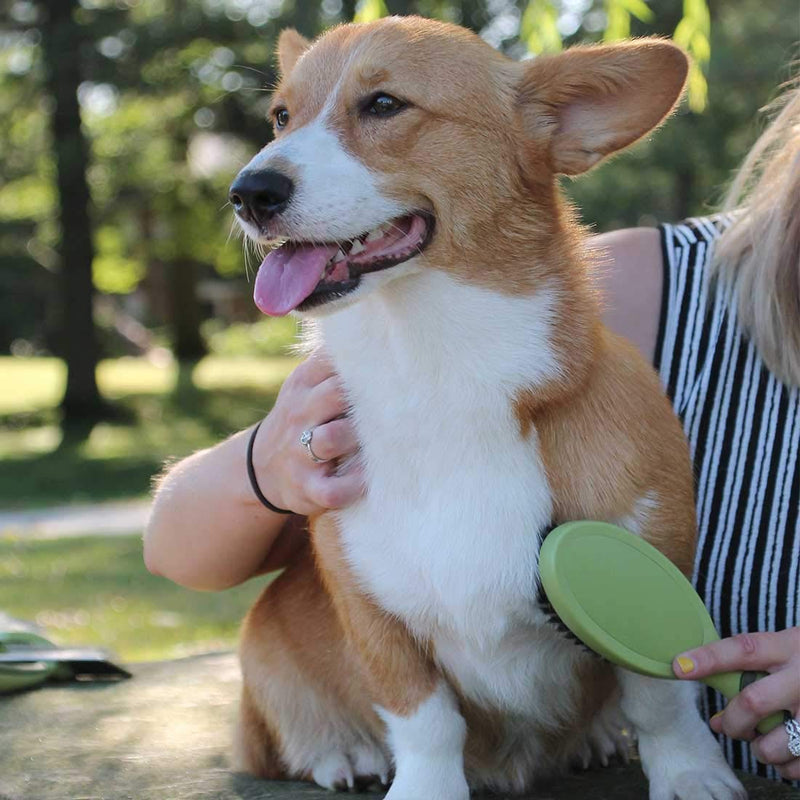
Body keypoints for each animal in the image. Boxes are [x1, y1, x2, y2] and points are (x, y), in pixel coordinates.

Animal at [228, 14, 748, 800]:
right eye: (281, 117)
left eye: (384, 105)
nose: (247, 190)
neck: (434, 367)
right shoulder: (371, 607)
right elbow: (425, 721)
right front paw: (423, 788)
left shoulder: (656, 550)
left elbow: (660, 694)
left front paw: (692, 773)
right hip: (261, 649)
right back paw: (342, 752)